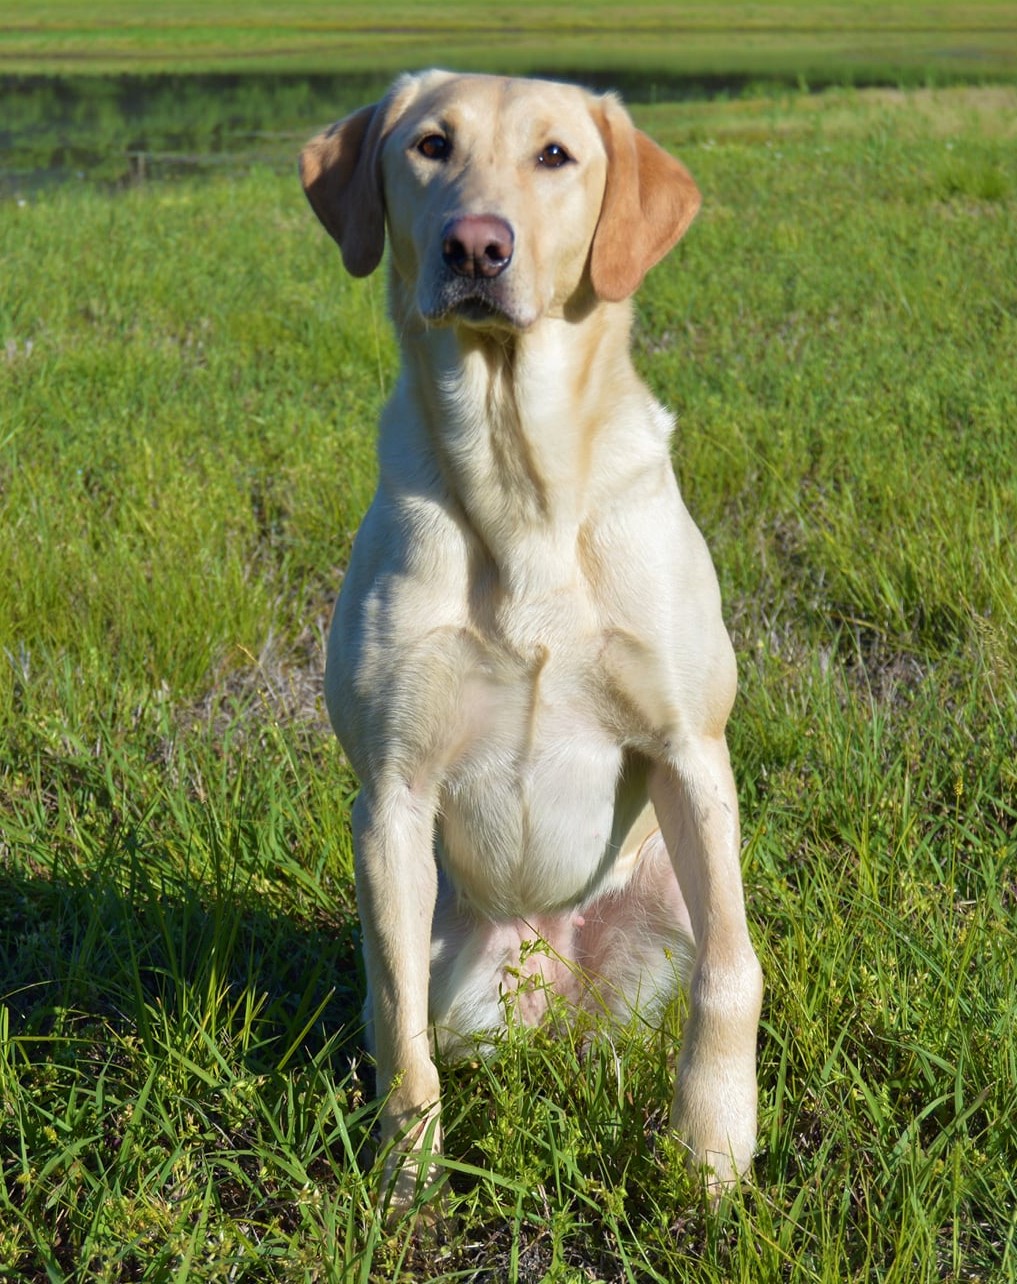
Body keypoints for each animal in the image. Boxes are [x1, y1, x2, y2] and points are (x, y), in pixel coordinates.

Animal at [297, 70, 760, 1201]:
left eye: (557, 155)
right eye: (430, 145)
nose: (475, 246)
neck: (518, 479)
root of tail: (556, 988)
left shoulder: (692, 753)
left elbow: (733, 972)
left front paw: (712, 1149)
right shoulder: (392, 796)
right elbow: (395, 1019)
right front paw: (407, 1177)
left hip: (660, 898)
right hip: (450, 941)